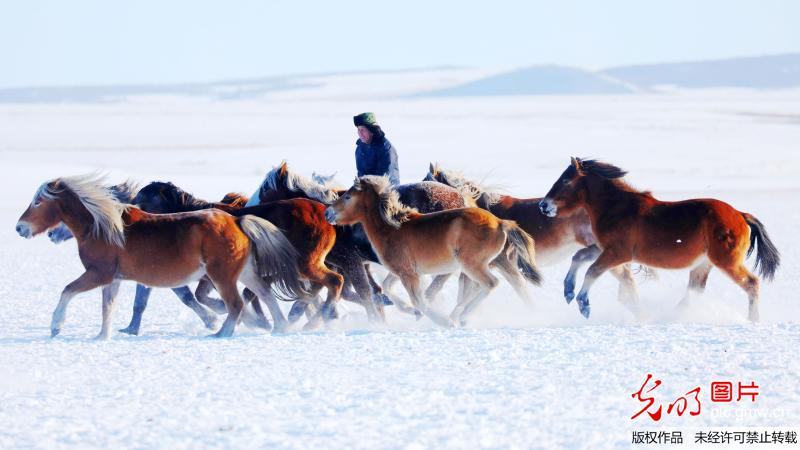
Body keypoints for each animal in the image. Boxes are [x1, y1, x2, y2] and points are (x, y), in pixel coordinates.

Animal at [16, 175, 310, 338]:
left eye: (38, 202)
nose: (20, 228)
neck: (103, 226)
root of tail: (236, 221)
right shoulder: (114, 279)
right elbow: (108, 308)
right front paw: (102, 337)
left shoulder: (98, 273)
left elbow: (67, 290)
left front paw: (56, 326)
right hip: (246, 272)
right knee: (265, 295)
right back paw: (278, 327)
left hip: (222, 276)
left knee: (236, 304)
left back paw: (221, 333)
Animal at [324, 176, 544, 326]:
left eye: (348, 196)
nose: (327, 212)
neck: (392, 229)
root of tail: (500, 223)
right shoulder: (404, 272)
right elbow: (387, 287)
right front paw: (409, 310)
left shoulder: (408, 274)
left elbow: (419, 300)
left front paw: (441, 321)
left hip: (472, 265)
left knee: (491, 284)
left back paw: (461, 316)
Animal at [536, 158, 780, 320]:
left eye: (566, 181)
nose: (543, 206)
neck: (616, 207)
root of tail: (740, 214)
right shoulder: (605, 248)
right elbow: (579, 257)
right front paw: (568, 290)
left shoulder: (618, 253)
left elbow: (592, 270)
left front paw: (583, 303)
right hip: (703, 264)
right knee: (694, 291)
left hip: (726, 262)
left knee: (752, 284)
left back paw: (753, 321)